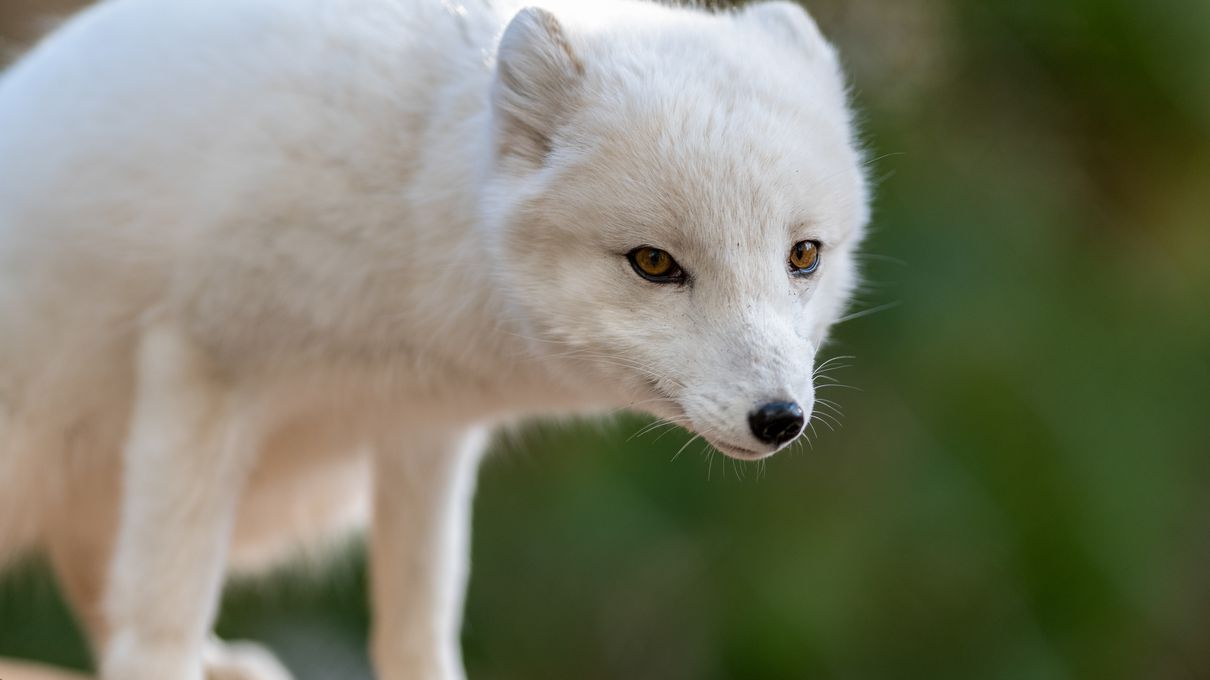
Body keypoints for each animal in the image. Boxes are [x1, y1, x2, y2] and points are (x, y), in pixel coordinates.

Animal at [0, 0, 871, 672]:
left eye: (803, 256)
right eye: (654, 263)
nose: (780, 419)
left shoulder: (425, 431)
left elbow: (420, 620)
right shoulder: (202, 359)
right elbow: (165, 596)